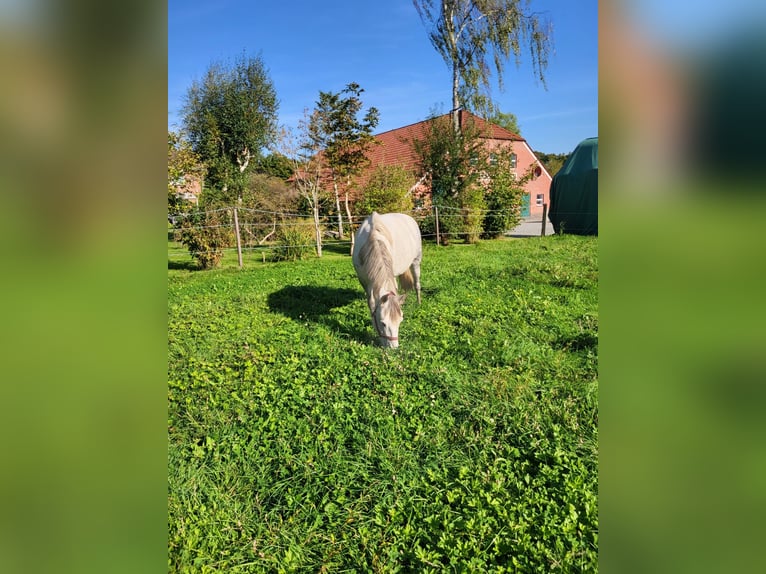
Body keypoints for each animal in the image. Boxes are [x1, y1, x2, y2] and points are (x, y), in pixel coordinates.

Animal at [352, 212, 424, 346]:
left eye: (400, 321)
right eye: (383, 323)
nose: (394, 347)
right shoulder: (364, 281)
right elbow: (371, 303)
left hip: (416, 262)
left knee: (417, 284)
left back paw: (419, 302)